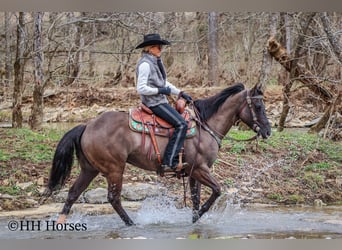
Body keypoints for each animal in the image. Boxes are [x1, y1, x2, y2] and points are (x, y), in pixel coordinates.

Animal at [41, 83, 272, 226]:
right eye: (258, 105)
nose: (268, 131)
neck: (206, 126)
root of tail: (87, 125)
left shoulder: (194, 173)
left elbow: (196, 199)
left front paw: (195, 219)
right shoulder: (200, 169)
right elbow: (216, 190)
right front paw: (199, 215)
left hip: (90, 169)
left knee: (73, 193)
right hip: (114, 169)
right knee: (113, 198)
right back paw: (132, 224)